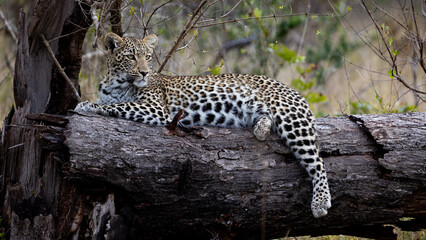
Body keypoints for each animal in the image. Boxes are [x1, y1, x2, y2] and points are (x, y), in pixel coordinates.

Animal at [75, 31, 332, 218]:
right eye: (130, 57)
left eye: (147, 57)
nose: (144, 72)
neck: (116, 84)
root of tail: (292, 89)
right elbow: (112, 103)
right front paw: (90, 103)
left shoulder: (155, 108)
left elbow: (118, 106)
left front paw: (87, 106)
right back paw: (261, 128)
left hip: (291, 119)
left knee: (318, 162)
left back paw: (321, 202)